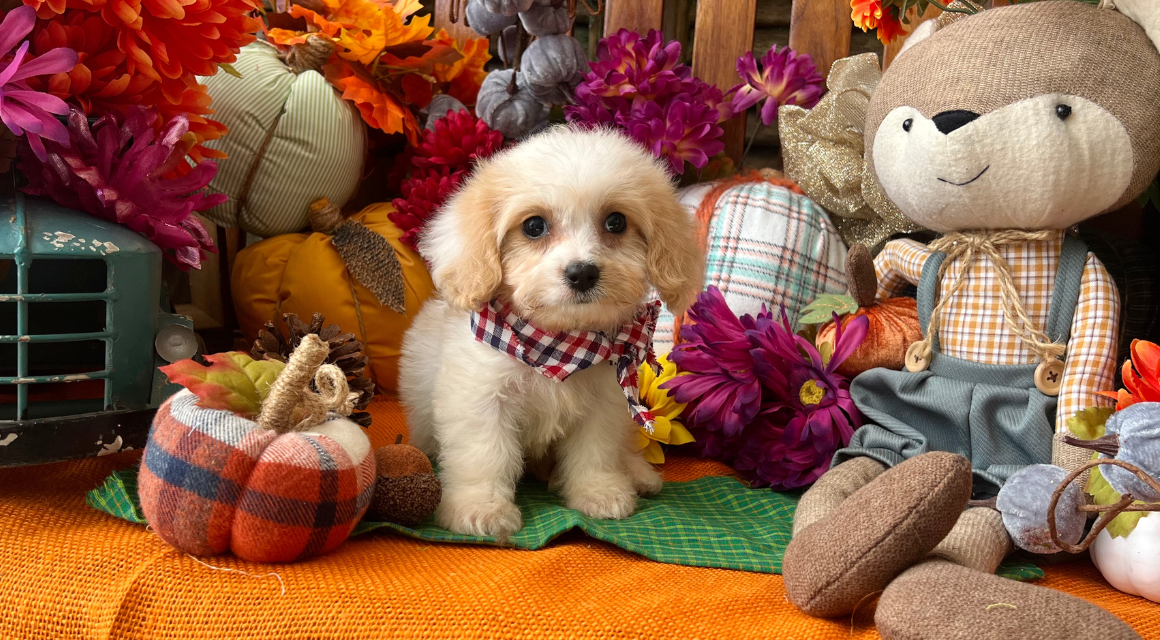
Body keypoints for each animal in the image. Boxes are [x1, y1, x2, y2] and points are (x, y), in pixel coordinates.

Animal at [399, 127, 700, 537]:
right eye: (533, 226)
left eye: (616, 222)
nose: (582, 272)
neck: (560, 345)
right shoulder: (479, 398)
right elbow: (484, 454)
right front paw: (479, 508)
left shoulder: (603, 404)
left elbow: (595, 452)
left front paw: (599, 492)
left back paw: (637, 474)